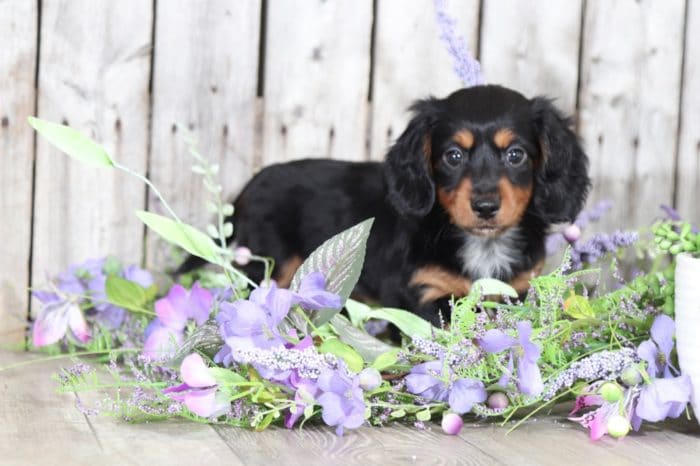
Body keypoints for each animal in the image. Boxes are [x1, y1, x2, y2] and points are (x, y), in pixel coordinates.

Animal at [180, 85, 592, 326]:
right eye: (453, 156)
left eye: (516, 155)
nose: (486, 206)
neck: (481, 245)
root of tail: (248, 188)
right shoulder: (423, 293)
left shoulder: (517, 290)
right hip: (272, 264)